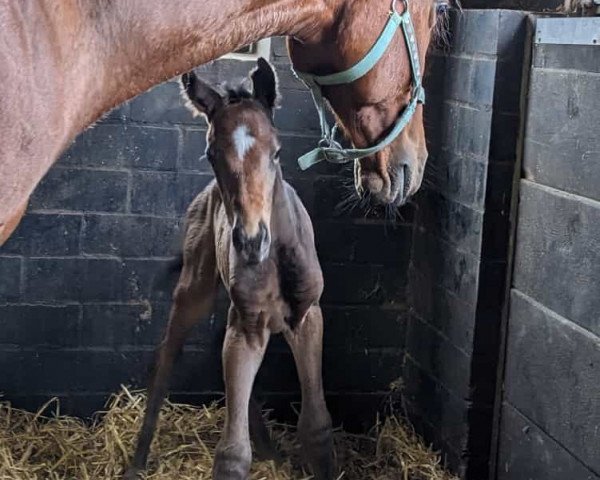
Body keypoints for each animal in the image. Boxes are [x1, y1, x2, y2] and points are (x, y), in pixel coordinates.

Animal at [125, 60, 336, 480]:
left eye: (277, 152)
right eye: (210, 153)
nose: (251, 241)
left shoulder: (307, 318)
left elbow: (317, 426)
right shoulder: (247, 326)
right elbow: (232, 452)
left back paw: (271, 451)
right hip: (195, 287)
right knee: (165, 356)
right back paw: (137, 463)